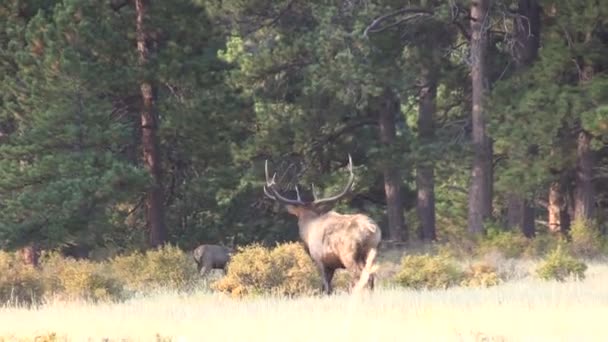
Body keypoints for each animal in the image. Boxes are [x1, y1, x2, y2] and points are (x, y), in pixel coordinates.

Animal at [264, 155, 382, 294]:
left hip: (349, 255)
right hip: (372, 252)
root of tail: (371, 229)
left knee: (360, 276)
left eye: (299, 219)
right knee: (371, 276)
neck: (308, 230)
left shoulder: (319, 259)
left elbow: (326, 286)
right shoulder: (331, 265)